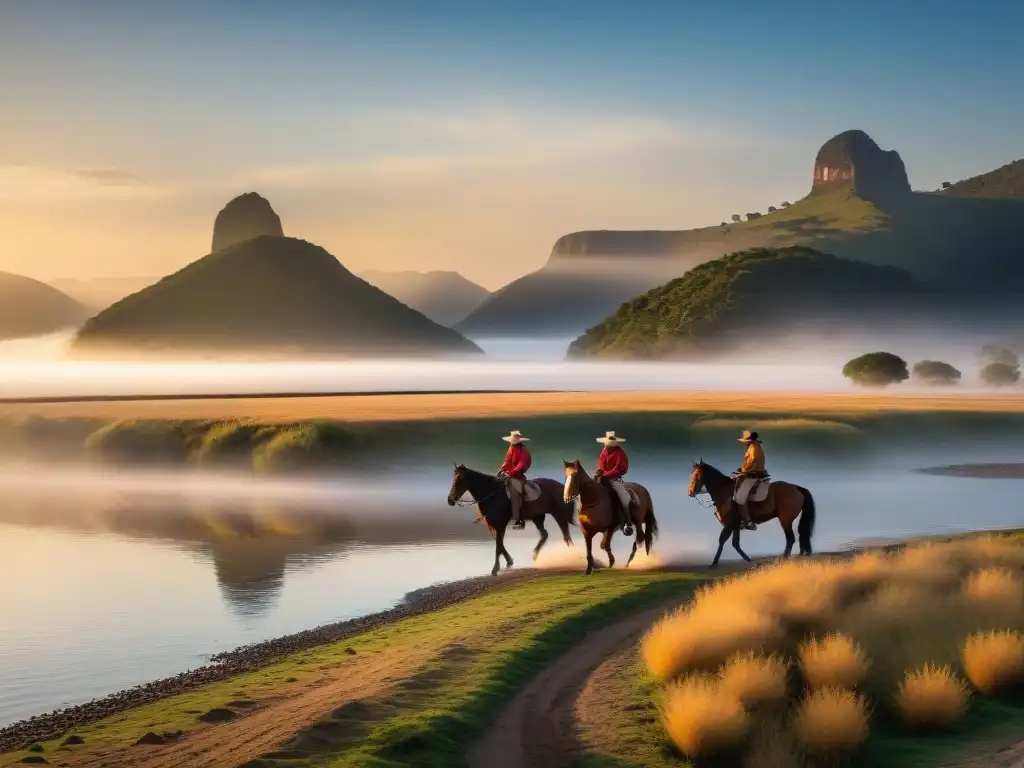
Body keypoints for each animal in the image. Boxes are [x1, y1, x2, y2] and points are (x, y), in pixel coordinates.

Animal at [448, 462, 577, 577]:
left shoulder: (500, 524)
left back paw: (571, 555)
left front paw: (495, 569)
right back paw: (535, 554)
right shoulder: (495, 525)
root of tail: (563, 487)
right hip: (538, 517)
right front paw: (509, 561)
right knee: (545, 535)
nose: (450, 500)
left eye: (459, 480)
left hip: (559, 515)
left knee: (566, 536)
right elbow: (499, 544)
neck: (492, 492)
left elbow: (498, 546)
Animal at [684, 460, 819, 569]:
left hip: (785, 520)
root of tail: (797, 488)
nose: (690, 492)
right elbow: (735, 543)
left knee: (790, 538)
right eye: (691, 474)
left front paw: (714, 563)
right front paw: (748, 559)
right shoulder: (735, 525)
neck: (724, 492)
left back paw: (784, 558)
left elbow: (722, 540)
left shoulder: (728, 524)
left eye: (697, 475)